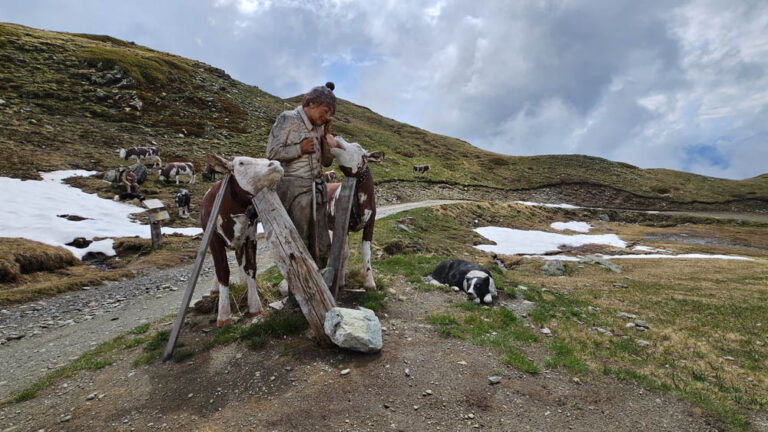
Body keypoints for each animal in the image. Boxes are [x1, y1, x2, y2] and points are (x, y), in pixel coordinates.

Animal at [200, 154, 284, 326]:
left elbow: (251, 267)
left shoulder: (250, 235)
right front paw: (223, 316)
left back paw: (242, 281)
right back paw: (215, 289)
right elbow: (222, 271)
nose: (275, 164)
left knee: (240, 261)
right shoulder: (214, 239)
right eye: (241, 163)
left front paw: (255, 305)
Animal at [324, 135, 384, 290]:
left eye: (358, 146)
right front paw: (340, 281)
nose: (337, 137)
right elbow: (345, 253)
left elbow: (366, 252)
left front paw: (370, 282)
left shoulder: (370, 223)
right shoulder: (343, 224)